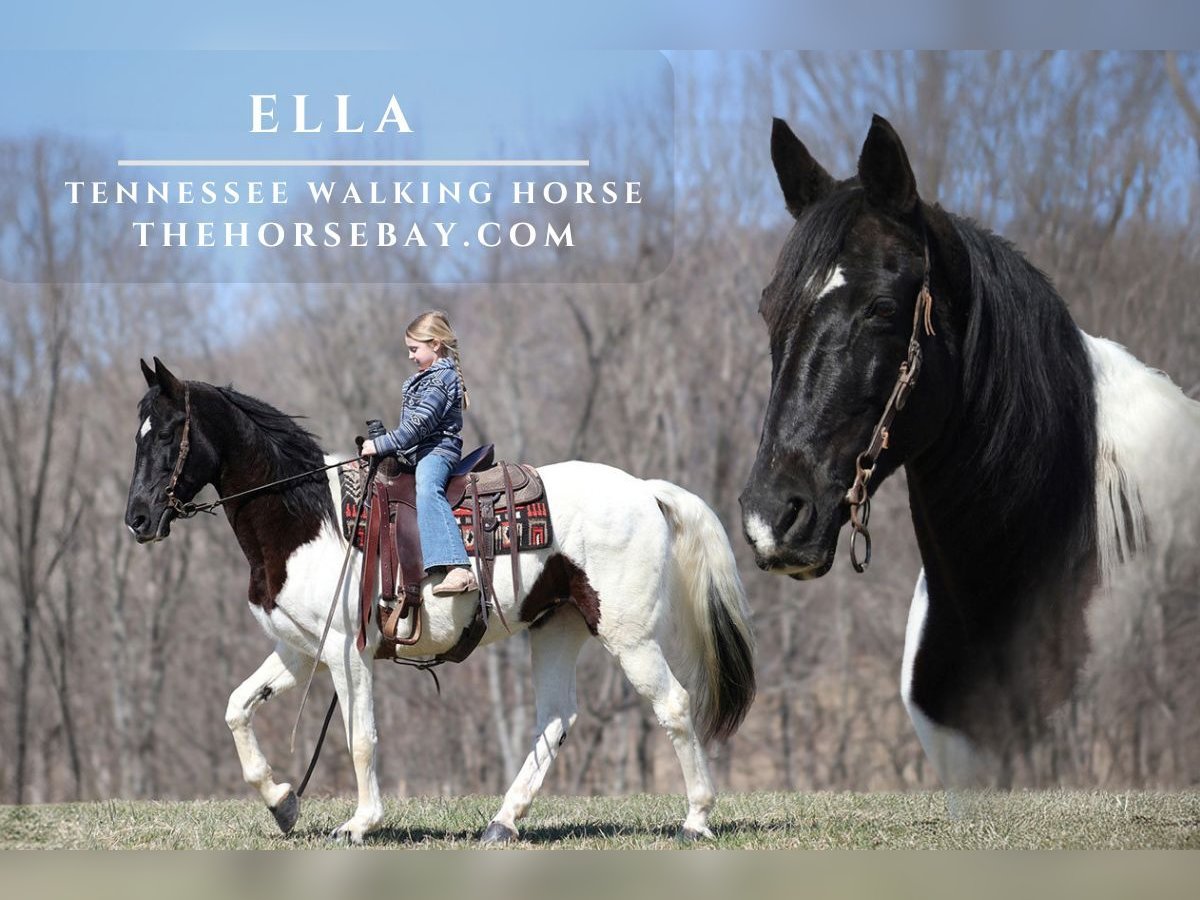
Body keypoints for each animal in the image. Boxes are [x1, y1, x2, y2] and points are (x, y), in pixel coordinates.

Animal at [126, 360, 753, 844]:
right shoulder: (300, 651)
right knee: (555, 719)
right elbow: (237, 708)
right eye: (139, 432)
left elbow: (360, 739)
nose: (137, 519)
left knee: (673, 705)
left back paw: (696, 820)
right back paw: (503, 822)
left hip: (628, 634)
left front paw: (359, 823)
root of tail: (644, 489)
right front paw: (282, 800)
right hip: (558, 626)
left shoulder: (346, 652)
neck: (309, 518)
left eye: (169, 432)